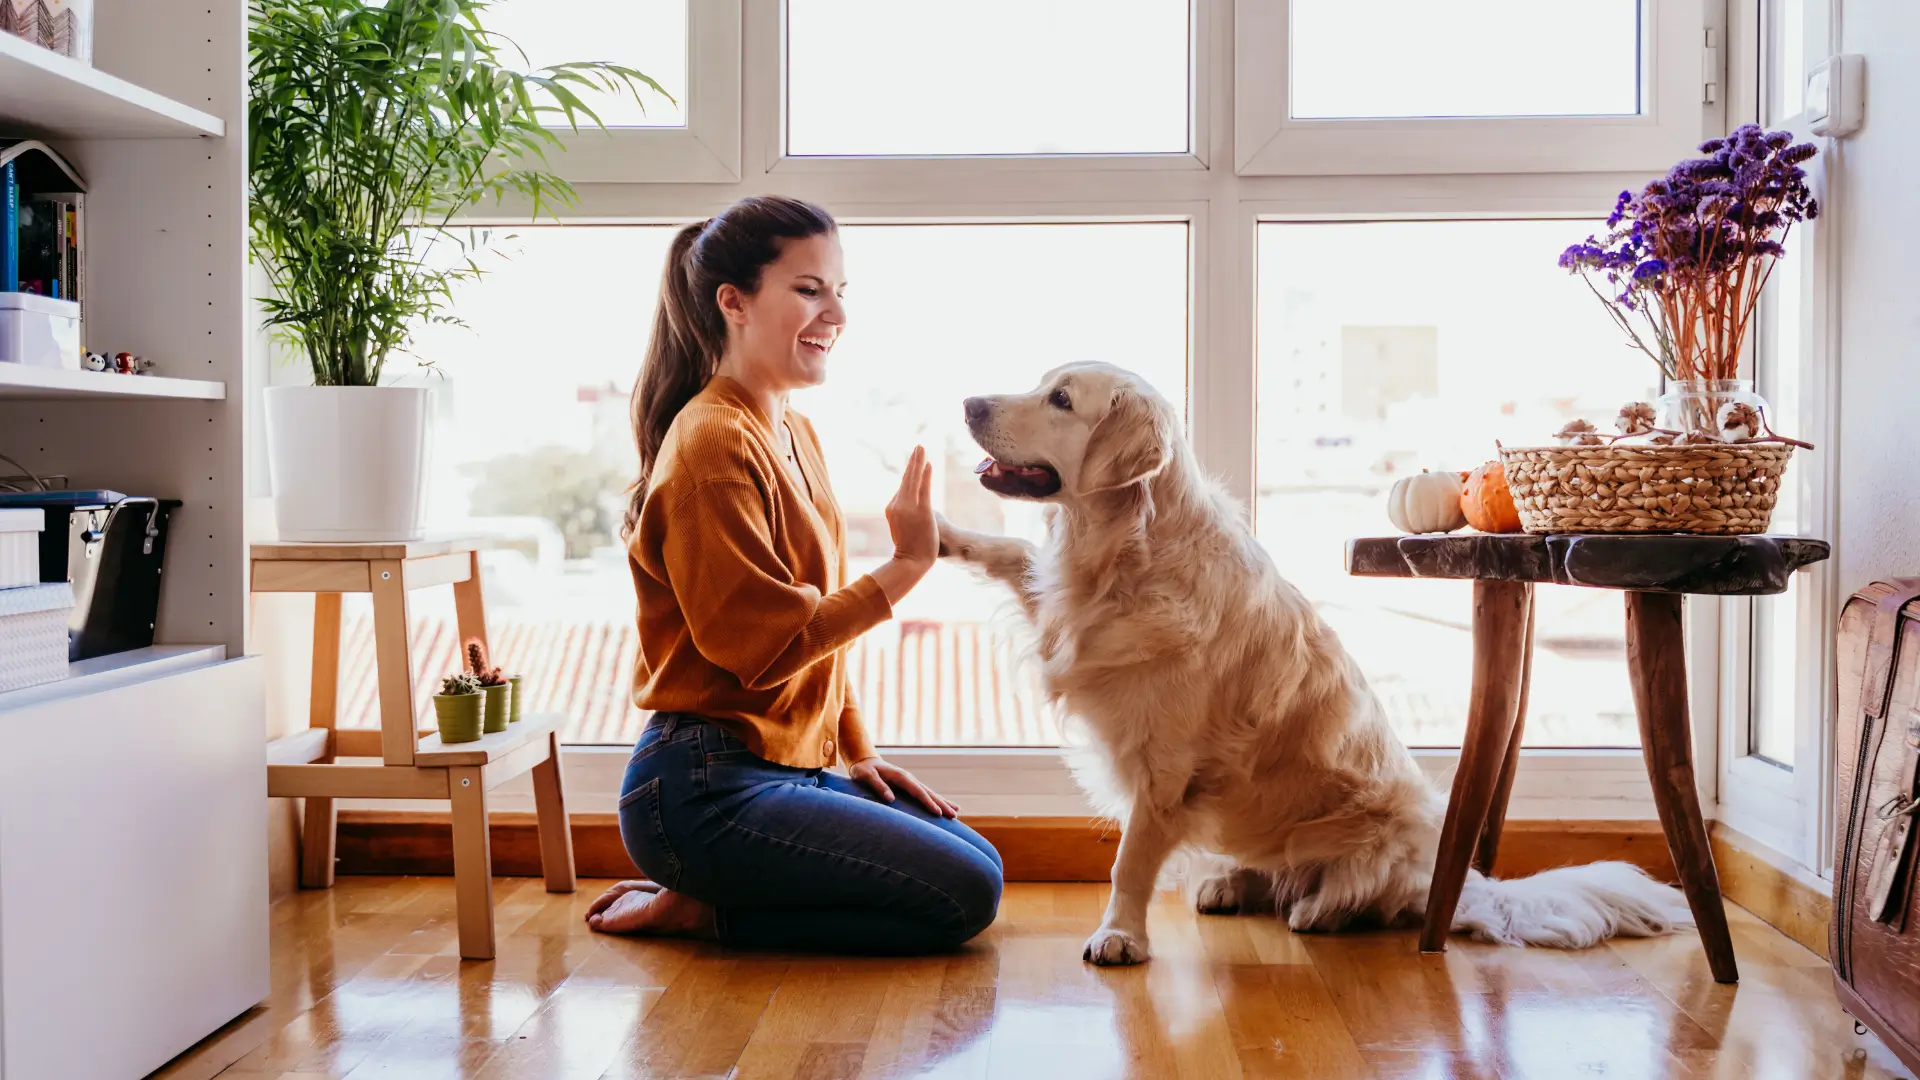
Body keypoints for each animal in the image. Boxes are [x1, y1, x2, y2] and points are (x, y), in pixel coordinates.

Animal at [936, 359, 1689, 957]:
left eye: (1062, 399)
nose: (968, 403)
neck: (1123, 552)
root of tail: (1458, 882)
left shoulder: (1165, 766)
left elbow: (1130, 863)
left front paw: (1120, 935)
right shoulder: (1062, 612)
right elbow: (1012, 552)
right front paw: (940, 532)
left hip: (1386, 830)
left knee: (1363, 895)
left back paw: (1318, 910)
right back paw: (1229, 883)